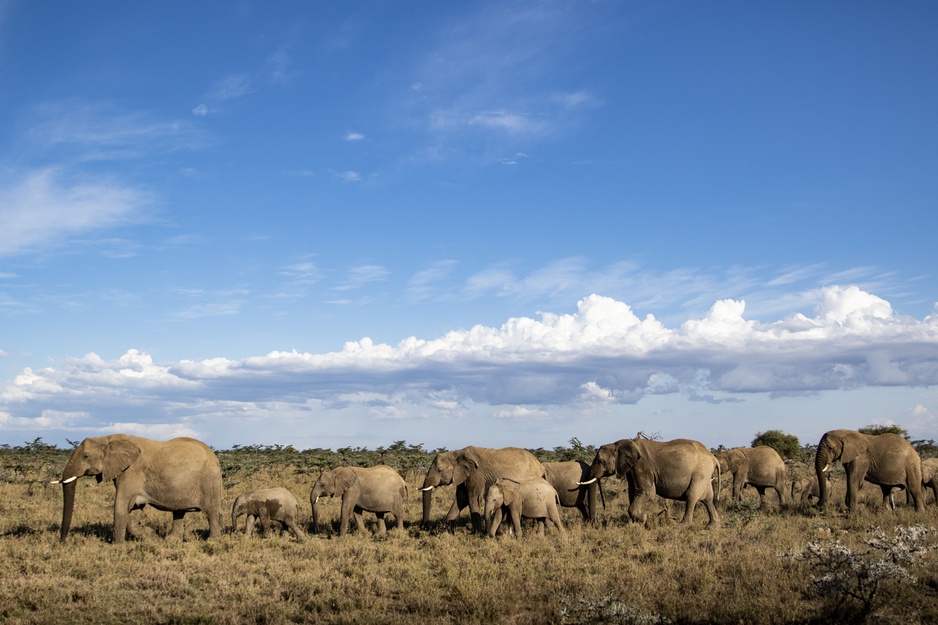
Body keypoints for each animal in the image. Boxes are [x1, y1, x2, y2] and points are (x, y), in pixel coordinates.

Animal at [55, 434, 223, 540]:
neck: (107, 438)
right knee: (179, 512)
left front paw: (117, 547)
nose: (63, 542)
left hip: (209, 480)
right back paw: (171, 540)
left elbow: (121, 506)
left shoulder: (132, 471)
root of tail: (214, 455)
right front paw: (150, 536)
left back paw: (212, 541)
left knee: (211, 512)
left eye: (86, 456)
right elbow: (135, 509)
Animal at [580, 436, 720, 528]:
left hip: (700, 473)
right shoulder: (631, 468)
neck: (618, 443)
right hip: (705, 474)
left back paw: (682, 525)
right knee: (708, 499)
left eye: (600, 461)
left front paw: (643, 519)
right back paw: (712, 526)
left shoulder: (642, 465)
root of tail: (714, 458)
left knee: (691, 496)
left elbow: (647, 493)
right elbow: (632, 492)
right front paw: (636, 523)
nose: (593, 522)